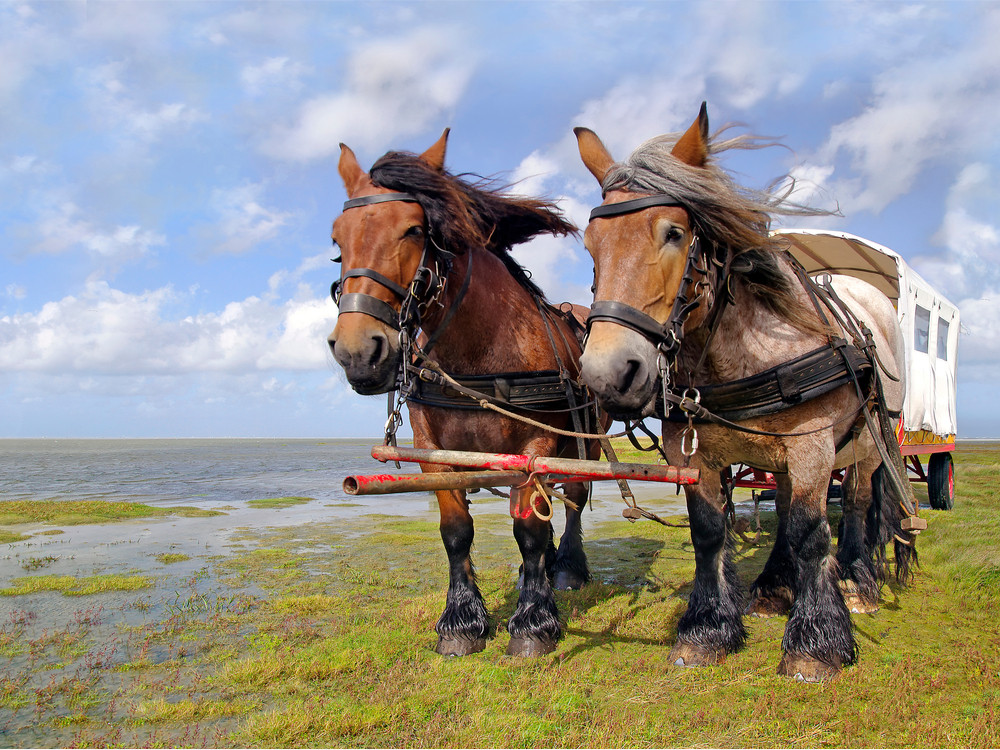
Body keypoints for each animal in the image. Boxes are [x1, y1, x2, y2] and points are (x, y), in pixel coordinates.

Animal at [330, 132, 600, 660]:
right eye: (337, 240)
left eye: (414, 229)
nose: (358, 351)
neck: (480, 356)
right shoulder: (435, 452)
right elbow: (456, 532)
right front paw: (461, 620)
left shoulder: (534, 448)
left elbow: (529, 531)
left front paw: (533, 623)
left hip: (587, 441)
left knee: (575, 497)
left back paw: (566, 568)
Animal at [576, 107, 916, 688]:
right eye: (590, 243)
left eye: (674, 232)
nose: (608, 374)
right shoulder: (695, 454)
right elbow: (711, 532)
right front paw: (707, 630)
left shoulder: (811, 446)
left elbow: (811, 533)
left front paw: (817, 642)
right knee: (786, 503)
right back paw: (774, 587)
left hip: (866, 443)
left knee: (854, 502)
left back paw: (857, 582)